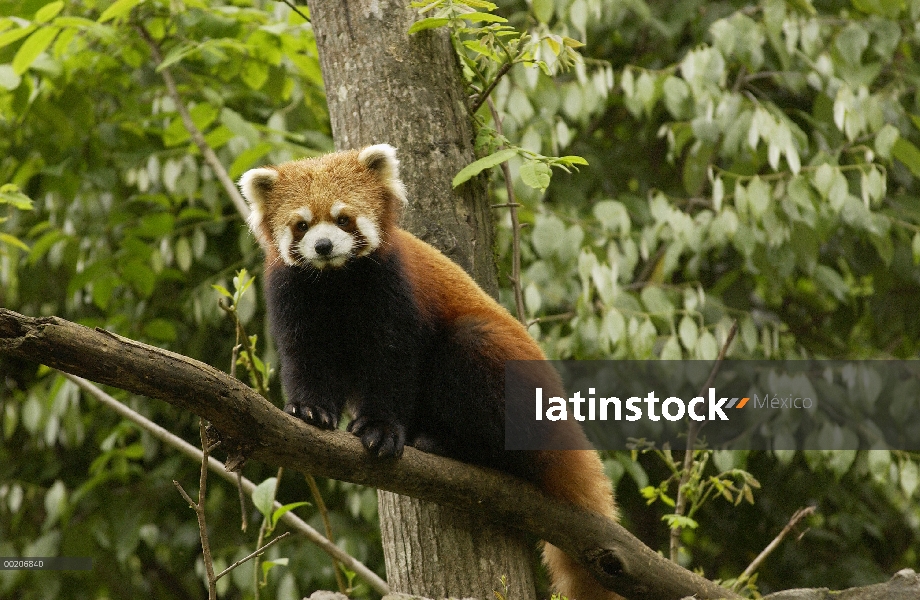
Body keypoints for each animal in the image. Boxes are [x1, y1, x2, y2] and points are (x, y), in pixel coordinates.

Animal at [241, 145, 620, 600]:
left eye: (343, 218)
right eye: (302, 225)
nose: (324, 245)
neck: (336, 281)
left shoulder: (394, 287)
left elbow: (393, 363)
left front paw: (380, 429)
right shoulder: (294, 293)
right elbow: (306, 357)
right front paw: (310, 411)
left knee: (473, 349)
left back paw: (452, 444)